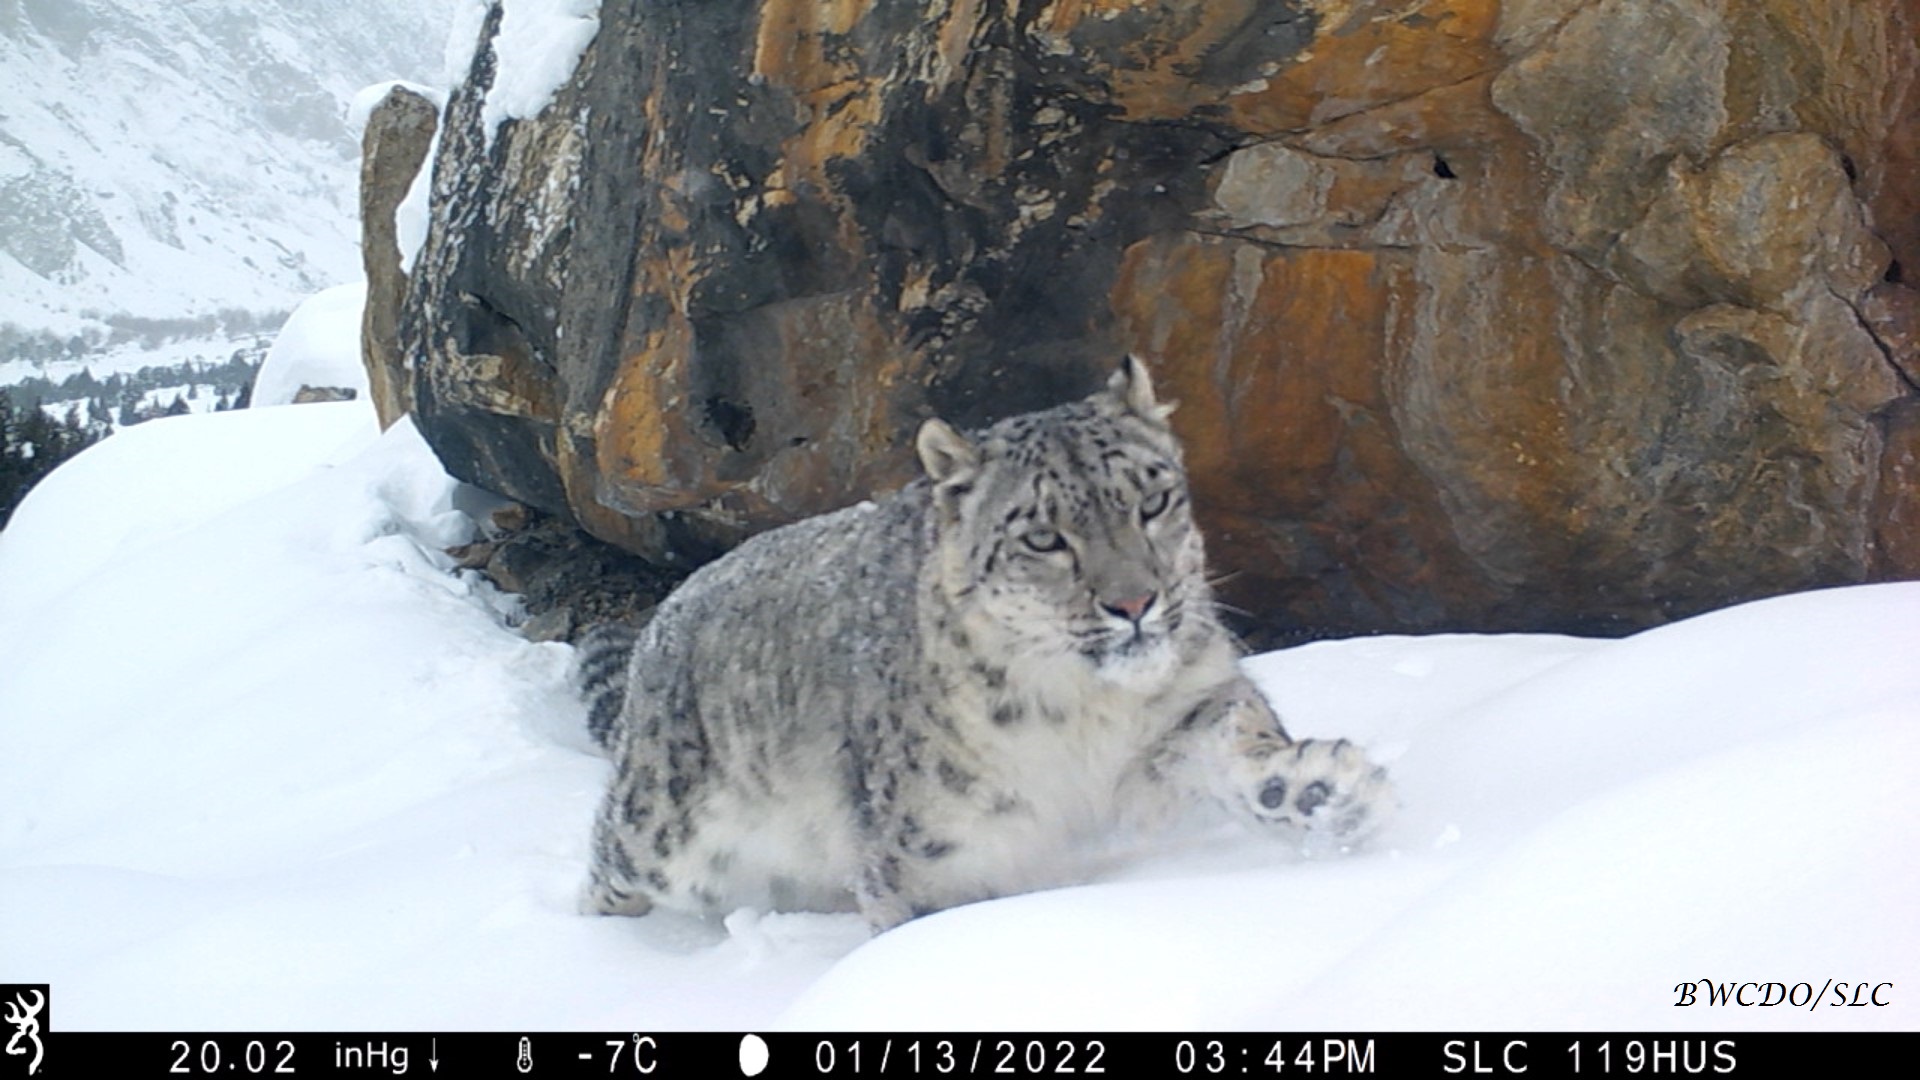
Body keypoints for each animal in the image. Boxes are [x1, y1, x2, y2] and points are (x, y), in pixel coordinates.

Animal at [577, 357, 1393, 931]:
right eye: (1043, 537)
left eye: (1153, 500)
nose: (1135, 603)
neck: (1087, 715)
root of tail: (665, 618)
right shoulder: (937, 852)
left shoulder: (1185, 702)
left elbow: (1235, 728)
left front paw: (1314, 790)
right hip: (661, 828)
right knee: (607, 860)